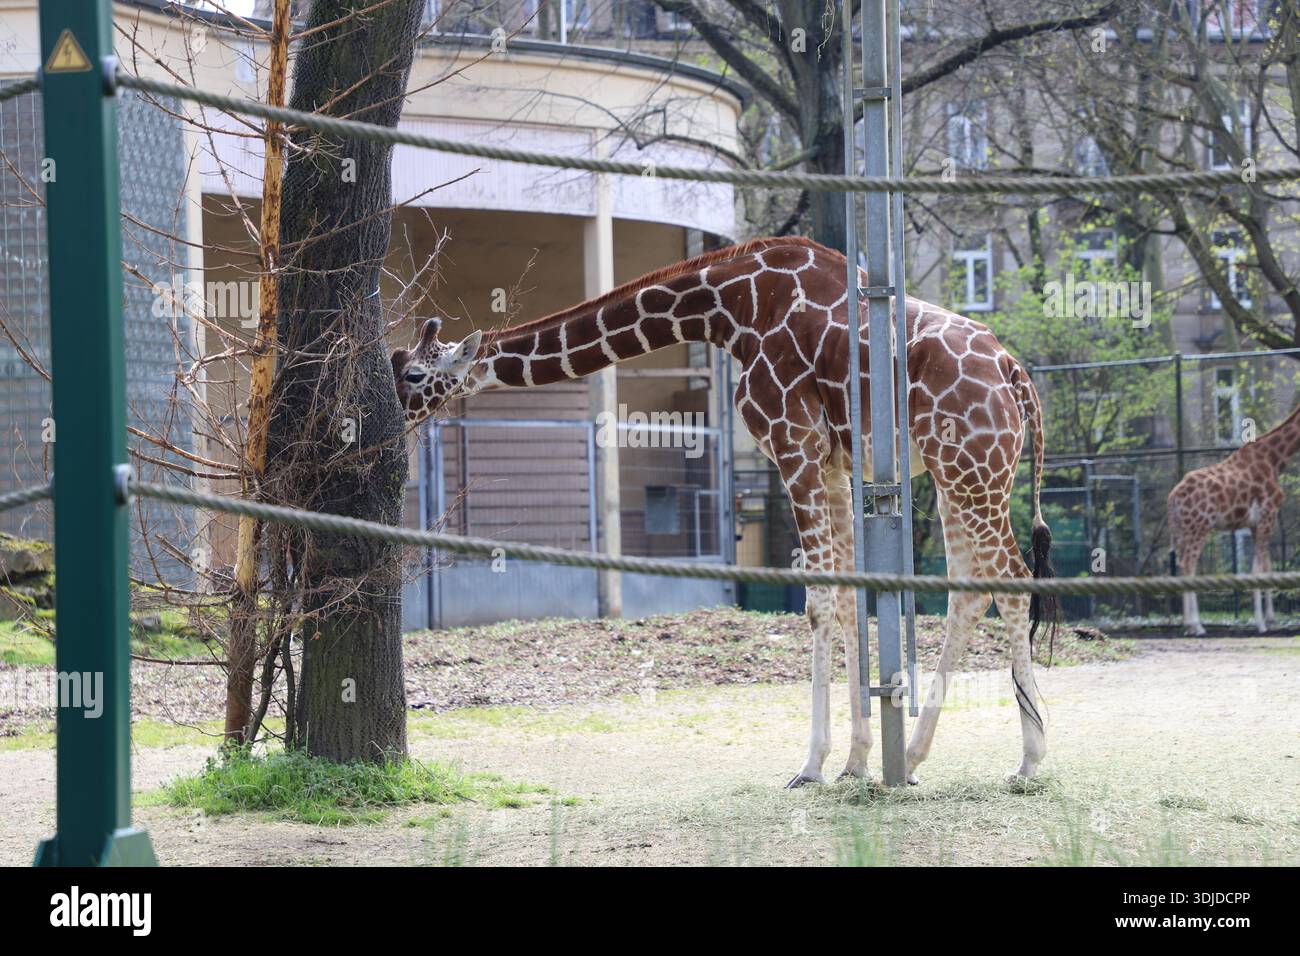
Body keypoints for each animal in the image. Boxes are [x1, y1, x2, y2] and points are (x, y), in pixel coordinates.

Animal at [392, 237, 1056, 785]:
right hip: (956, 474)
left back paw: (1029, 760)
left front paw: (814, 765)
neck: (730, 309)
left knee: (1013, 580)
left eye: (417, 374)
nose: (392, 415)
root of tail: (1014, 374)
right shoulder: (831, 461)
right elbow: (846, 596)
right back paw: (916, 758)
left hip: (971, 469)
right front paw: (856, 761)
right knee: (973, 589)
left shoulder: (794, 445)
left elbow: (819, 601)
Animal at [1168, 404, 1300, 636]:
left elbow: (1267, 567)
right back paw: (1196, 625)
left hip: (1185, 531)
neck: (1275, 459)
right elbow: (1257, 570)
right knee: (1189, 564)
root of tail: (1173, 497)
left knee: (1183, 564)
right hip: (1199, 527)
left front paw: (1271, 620)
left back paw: (1188, 624)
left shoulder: (1257, 524)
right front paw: (1260, 623)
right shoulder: (1267, 516)